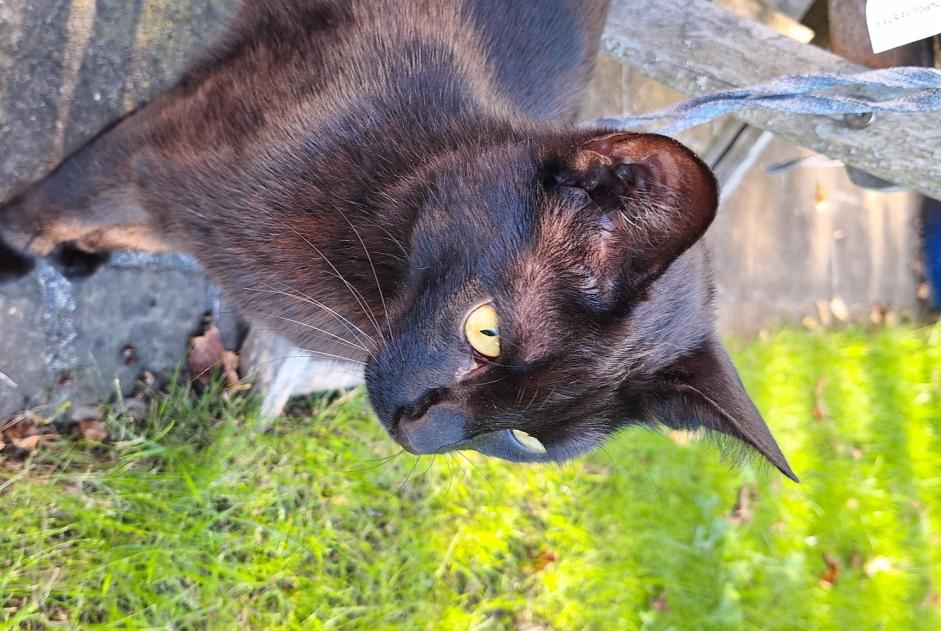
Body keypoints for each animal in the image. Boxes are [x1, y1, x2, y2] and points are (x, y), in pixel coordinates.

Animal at [0, 1, 792, 478]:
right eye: (486, 332)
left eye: (530, 440)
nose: (422, 435)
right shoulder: (152, 153)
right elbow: (46, 208)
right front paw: (14, 249)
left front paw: (76, 251)